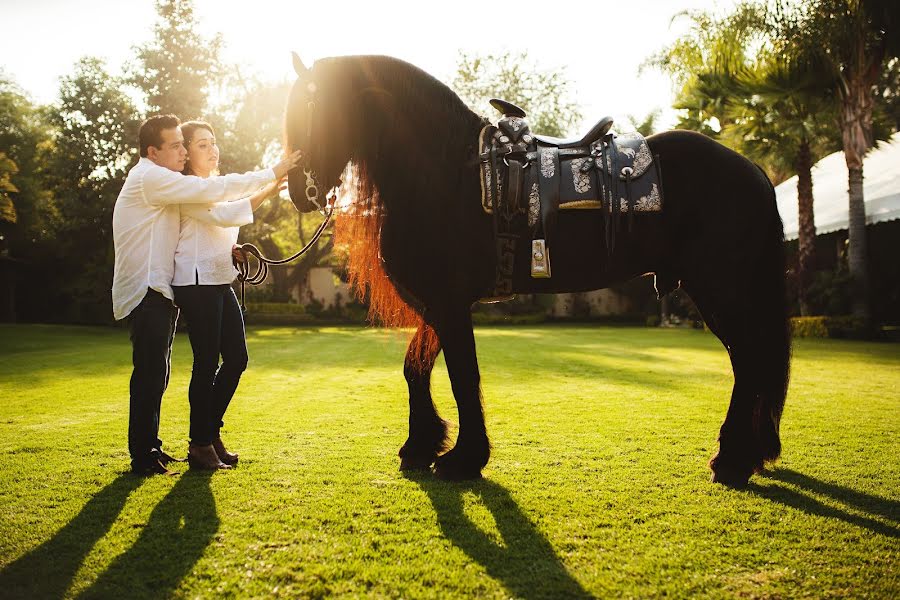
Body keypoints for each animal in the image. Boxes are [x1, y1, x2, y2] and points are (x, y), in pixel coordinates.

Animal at [284, 54, 792, 488]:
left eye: (315, 107)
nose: (296, 190)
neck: (447, 174)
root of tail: (752, 169)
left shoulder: (450, 302)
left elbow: (462, 375)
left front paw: (464, 459)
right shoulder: (436, 303)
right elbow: (416, 368)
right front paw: (421, 445)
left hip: (721, 289)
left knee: (749, 361)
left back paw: (732, 461)